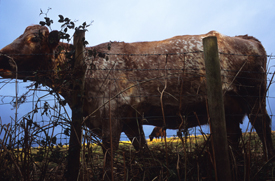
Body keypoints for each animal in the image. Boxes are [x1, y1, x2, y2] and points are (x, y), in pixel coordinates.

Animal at [0, 24, 275, 177]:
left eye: (34, 39)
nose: (2, 58)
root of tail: (245, 38)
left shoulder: (110, 116)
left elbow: (109, 155)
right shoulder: (130, 120)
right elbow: (142, 150)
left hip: (253, 98)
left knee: (263, 127)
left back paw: (268, 162)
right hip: (230, 110)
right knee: (234, 136)